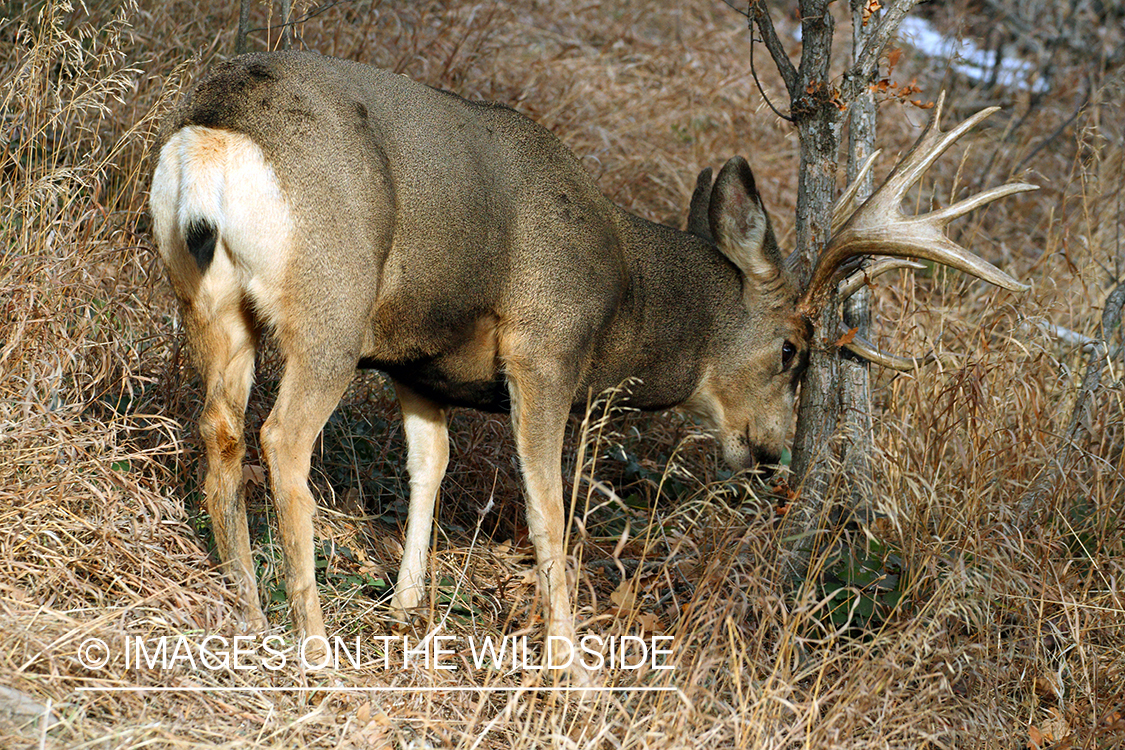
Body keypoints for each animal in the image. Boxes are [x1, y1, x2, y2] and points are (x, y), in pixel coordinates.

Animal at [150, 50, 1033, 672]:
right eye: (791, 348)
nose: (771, 448)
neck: (624, 295)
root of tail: (212, 135)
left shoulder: (418, 367)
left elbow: (428, 469)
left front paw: (406, 612)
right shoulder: (546, 347)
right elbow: (548, 511)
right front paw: (572, 669)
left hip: (208, 299)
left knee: (219, 429)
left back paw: (248, 611)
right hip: (332, 302)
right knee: (281, 440)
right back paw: (313, 646)